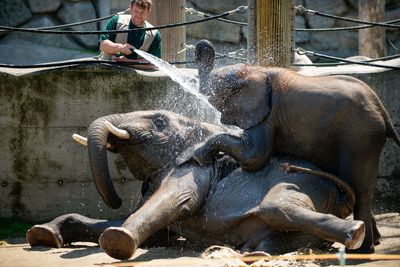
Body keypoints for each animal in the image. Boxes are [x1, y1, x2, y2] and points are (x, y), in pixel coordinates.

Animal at [27, 110, 366, 262]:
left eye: (159, 122)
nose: (115, 198)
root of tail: (342, 198)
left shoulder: (192, 168)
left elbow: (172, 205)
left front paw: (117, 241)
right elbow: (148, 226)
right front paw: (43, 234)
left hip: (303, 182)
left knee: (277, 208)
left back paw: (356, 233)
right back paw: (255, 253)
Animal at [191, 39, 400, 255]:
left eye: (215, 88)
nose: (202, 45)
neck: (256, 71)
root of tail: (383, 112)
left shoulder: (266, 115)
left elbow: (255, 157)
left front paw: (199, 156)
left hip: (359, 136)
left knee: (359, 187)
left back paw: (362, 250)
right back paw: (374, 241)